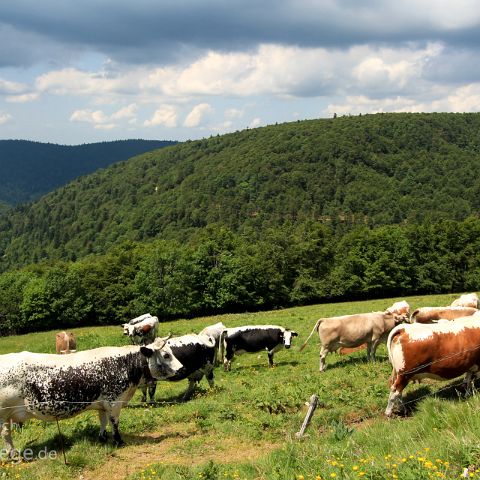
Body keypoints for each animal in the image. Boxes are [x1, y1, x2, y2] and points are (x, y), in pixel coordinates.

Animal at [0, 340, 178, 456]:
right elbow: (114, 423)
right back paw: (12, 454)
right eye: (166, 355)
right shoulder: (114, 401)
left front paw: (103, 438)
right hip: (3, 414)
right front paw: (119, 441)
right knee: (5, 434)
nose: (181, 368)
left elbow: (103, 420)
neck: (125, 364)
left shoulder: (104, 403)